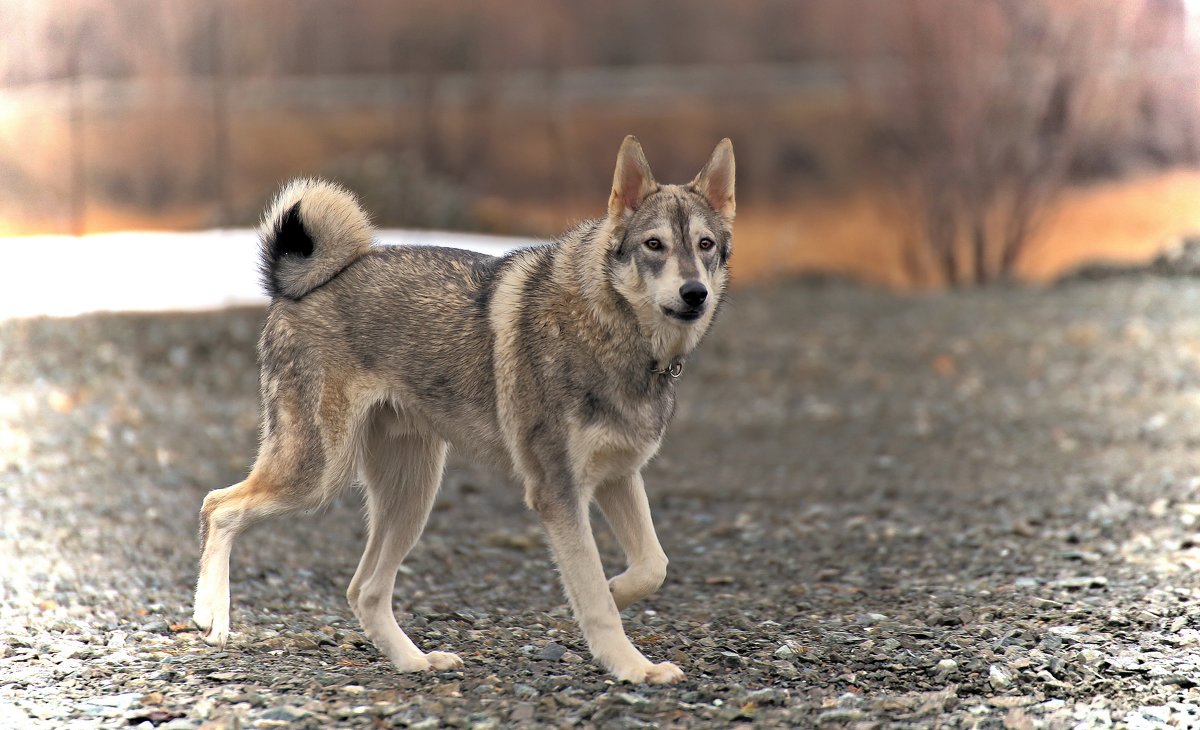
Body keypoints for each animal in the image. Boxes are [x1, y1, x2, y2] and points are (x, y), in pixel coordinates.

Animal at [193, 135, 734, 681]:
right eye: (654, 245)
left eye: (705, 245)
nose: (695, 293)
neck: (614, 329)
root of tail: (302, 287)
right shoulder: (558, 491)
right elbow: (597, 598)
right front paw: (630, 666)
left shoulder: (618, 476)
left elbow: (652, 566)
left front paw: (617, 592)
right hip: (320, 477)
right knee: (219, 505)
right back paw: (211, 613)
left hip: (411, 494)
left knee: (363, 590)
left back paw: (414, 661)